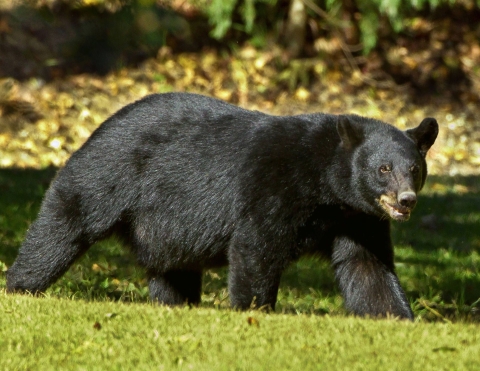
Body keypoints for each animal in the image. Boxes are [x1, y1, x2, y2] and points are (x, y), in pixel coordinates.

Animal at [5, 93, 438, 320]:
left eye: (414, 169)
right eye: (383, 169)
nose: (406, 200)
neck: (325, 184)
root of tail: (99, 125)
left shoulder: (357, 217)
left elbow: (367, 266)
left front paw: (397, 317)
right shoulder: (274, 185)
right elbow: (256, 247)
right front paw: (255, 311)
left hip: (165, 227)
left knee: (172, 269)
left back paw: (176, 304)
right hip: (108, 174)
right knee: (64, 224)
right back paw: (21, 286)